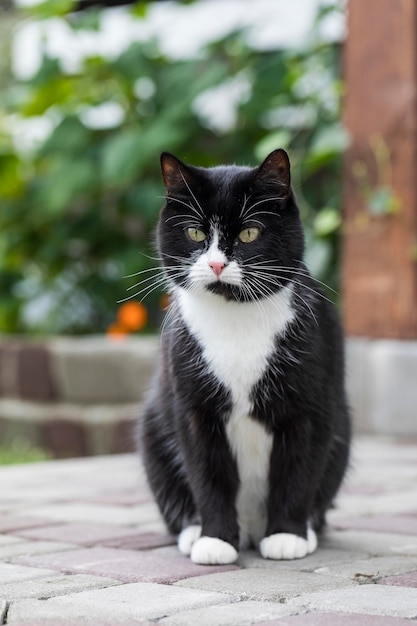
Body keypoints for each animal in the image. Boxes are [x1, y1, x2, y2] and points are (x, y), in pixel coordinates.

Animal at [138, 149, 350, 564]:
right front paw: (215, 540)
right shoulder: (193, 409)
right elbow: (207, 473)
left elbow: (298, 472)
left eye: (249, 233)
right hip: (153, 426)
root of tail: (250, 528)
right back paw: (194, 531)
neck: (236, 316)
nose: (217, 264)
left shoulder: (311, 407)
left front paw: (287, 536)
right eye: (195, 233)